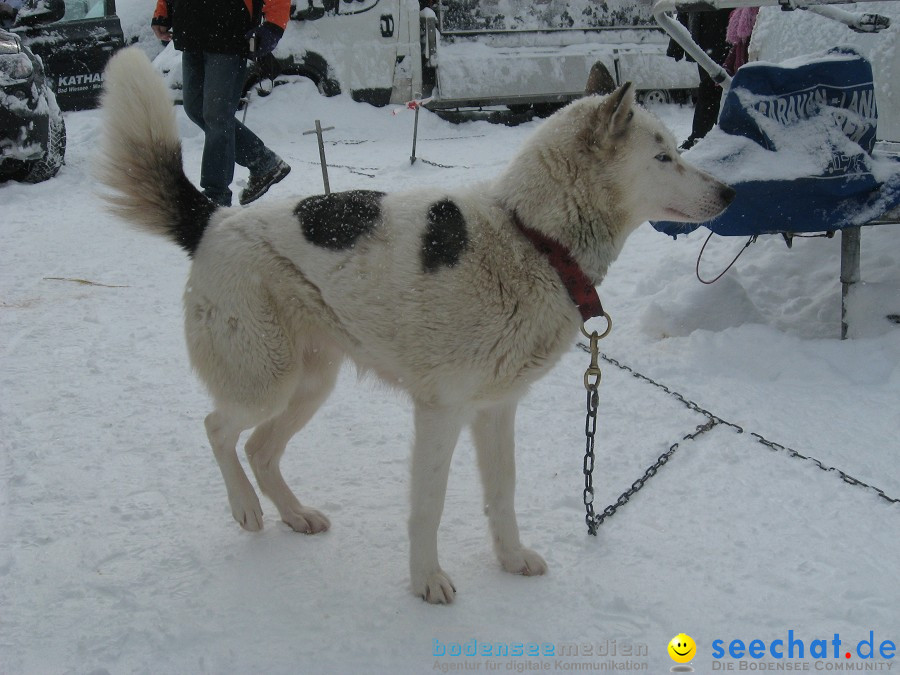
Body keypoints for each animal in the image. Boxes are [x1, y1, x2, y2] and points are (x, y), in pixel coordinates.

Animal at [98, 48, 732, 608]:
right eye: (663, 158)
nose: (729, 191)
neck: (533, 238)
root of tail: (215, 221)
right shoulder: (440, 412)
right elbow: (430, 506)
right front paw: (426, 581)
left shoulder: (495, 411)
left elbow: (502, 493)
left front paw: (510, 558)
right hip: (265, 381)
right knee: (217, 428)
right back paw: (246, 507)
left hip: (310, 385)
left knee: (259, 448)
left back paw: (294, 513)